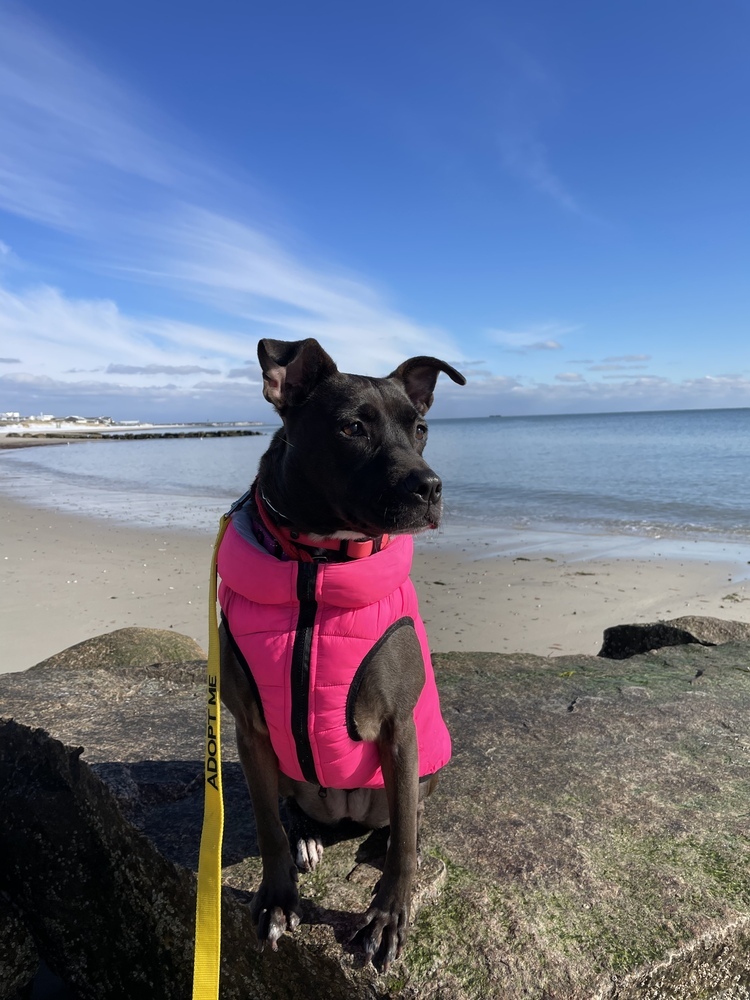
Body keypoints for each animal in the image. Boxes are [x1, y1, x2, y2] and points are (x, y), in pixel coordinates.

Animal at [217, 336, 464, 968]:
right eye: (353, 427)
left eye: (420, 428)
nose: (430, 486)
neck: (317, 565)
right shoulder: (249, 729)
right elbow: (267, 829)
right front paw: (279, 899)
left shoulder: (399, 726)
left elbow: (403, 849)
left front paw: (387, 917)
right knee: (294, 811)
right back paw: (307, 833)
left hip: (421, 770)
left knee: (404, 819)